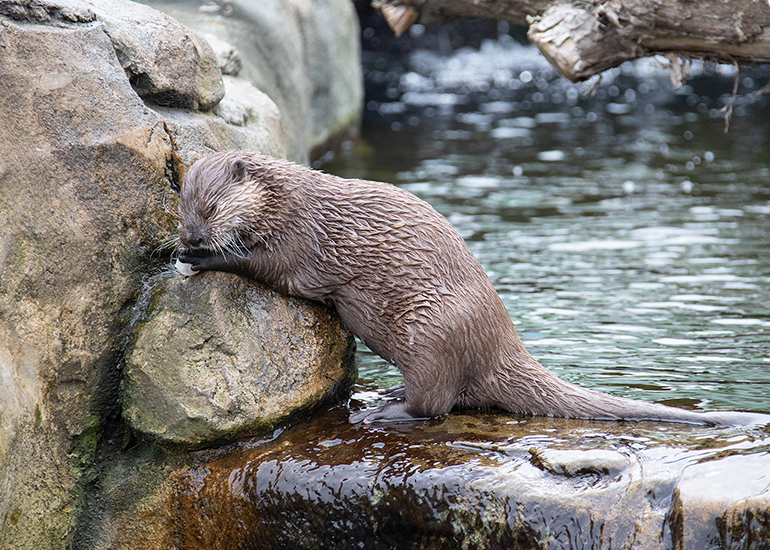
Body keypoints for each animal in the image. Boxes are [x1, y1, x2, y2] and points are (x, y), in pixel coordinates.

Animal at [177, 151, 768, 426]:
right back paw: (388, 395)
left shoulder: (299, 239)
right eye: (183, 207)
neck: (288, 200)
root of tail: (500, 343)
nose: (191, 236)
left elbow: (263, 265)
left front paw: (201, 259)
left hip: (433, 332)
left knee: (434, 404)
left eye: (212, 207)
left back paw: (384, 411)